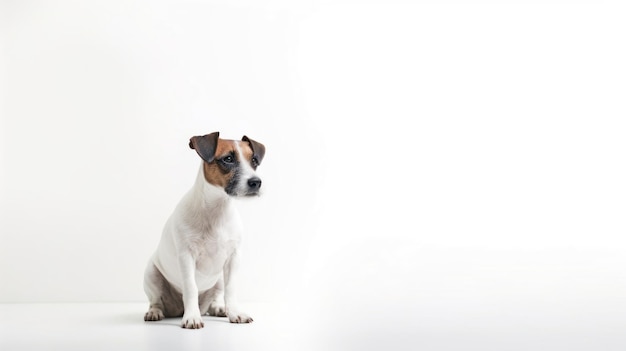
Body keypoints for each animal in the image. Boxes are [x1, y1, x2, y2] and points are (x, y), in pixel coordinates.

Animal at [142, 132, 264, 330]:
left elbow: (231, 289)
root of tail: (177, 309)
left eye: (254, 160)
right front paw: (192, 317)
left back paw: (219, 308)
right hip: (151, 274)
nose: (256, 182)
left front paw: (235, 312)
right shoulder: (186, 257)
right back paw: (155, 312)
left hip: (218, 280)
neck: (217, 211)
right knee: (156, 300)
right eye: (228, 159)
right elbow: (190, 288)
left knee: (215, 298)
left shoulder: (233, 258)